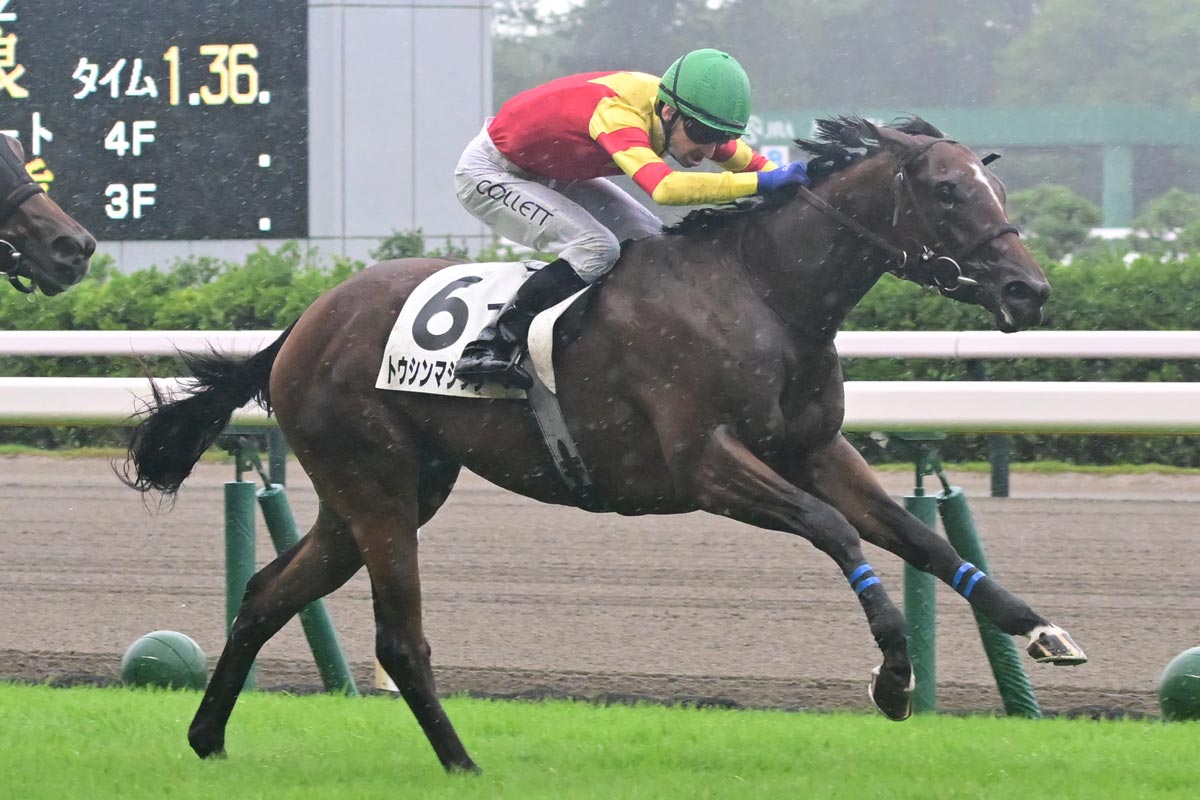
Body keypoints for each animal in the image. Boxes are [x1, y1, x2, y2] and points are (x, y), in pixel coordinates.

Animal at [125, 116, 1085, 773]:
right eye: (950, 193)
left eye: (995, 192)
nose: (1029, 290)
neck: (763, 295)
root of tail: (302, 323)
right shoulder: (705, 465)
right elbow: (837, 530)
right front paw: (893, 679)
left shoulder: (815, 450)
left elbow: (919, 537)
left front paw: (1039, 630)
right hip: (379, 487)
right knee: (399, 641)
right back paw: (462, 763)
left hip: (378, 492)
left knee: (266, 594)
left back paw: (208, 737)